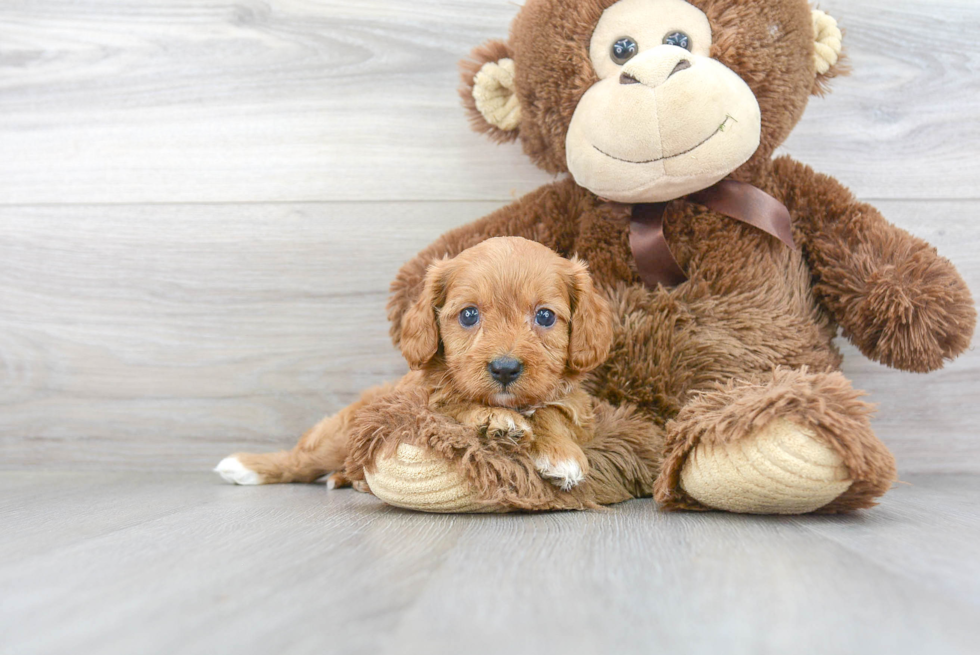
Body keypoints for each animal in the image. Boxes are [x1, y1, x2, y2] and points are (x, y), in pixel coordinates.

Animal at [215, 237, 612, 492]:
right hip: (340, 433)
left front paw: (560, 453)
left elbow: (551, 411)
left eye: (545, 316)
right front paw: (494, 419)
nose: (504, 369)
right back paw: (248, 467)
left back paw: (349, 478)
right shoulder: (417, 400)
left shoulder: (580, 408)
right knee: (302, 460)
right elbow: (452, 402)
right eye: (469, 315)